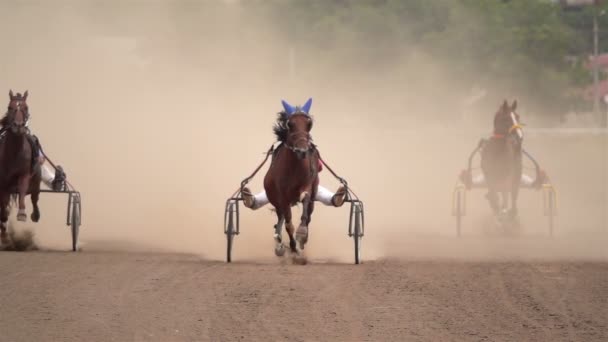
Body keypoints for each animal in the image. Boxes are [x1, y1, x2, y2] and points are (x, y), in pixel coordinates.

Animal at [0, 89, 42, 242]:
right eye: (9, 107)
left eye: (26, 108)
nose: (18, 126)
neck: (15, 152)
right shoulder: (3, 181)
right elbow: (3, 204)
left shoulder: (24, 174)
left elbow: (23, 190)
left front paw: (22, 213)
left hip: (36, 180)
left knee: (34, 197)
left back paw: (35, 215)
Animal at [262, 97, 318, 258]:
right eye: (290, 124)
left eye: (309, 124)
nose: (301, 151)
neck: (293, 168)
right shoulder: (282, 196)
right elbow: (288, 224)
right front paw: (292, 246)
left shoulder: (307, 184)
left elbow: (305, 199)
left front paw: (302, 234)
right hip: (276, 200)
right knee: (281, 218)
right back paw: (280, 242)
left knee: (309, 212)